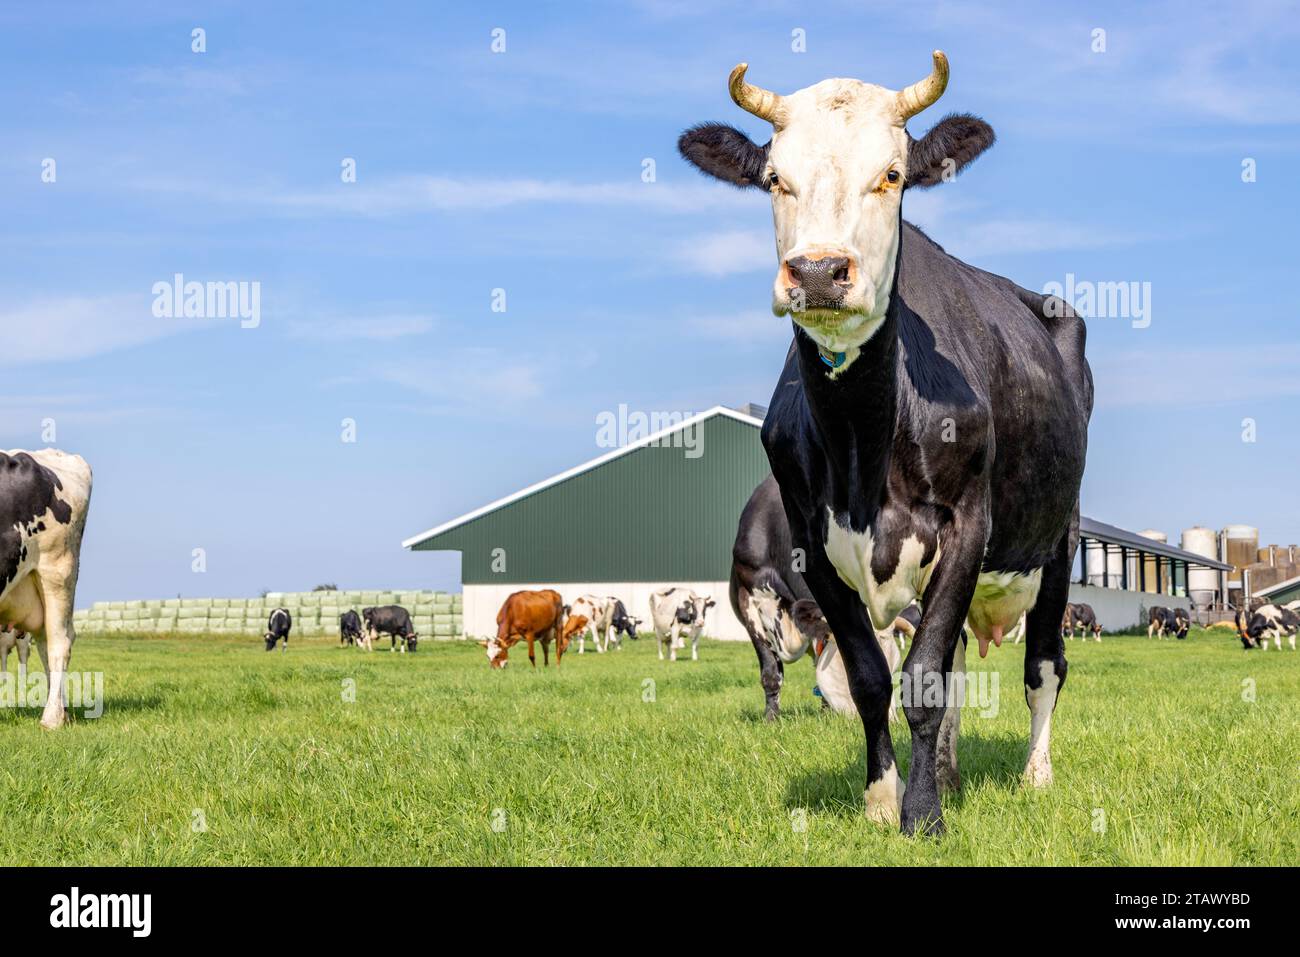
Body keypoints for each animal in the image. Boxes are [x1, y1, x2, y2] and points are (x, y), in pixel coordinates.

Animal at [679, 50, 1092, 835]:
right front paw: (882, 800)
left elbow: (923, 678)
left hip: (1058, 534)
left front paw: (923, 817)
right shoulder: (812, 543)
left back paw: (1037, 774)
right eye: (774, 177)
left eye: (892, 174)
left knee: (1044, 667)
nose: (818, 271)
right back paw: (953, 774)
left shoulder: (966, 524)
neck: (862, 443)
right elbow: (875, 676)